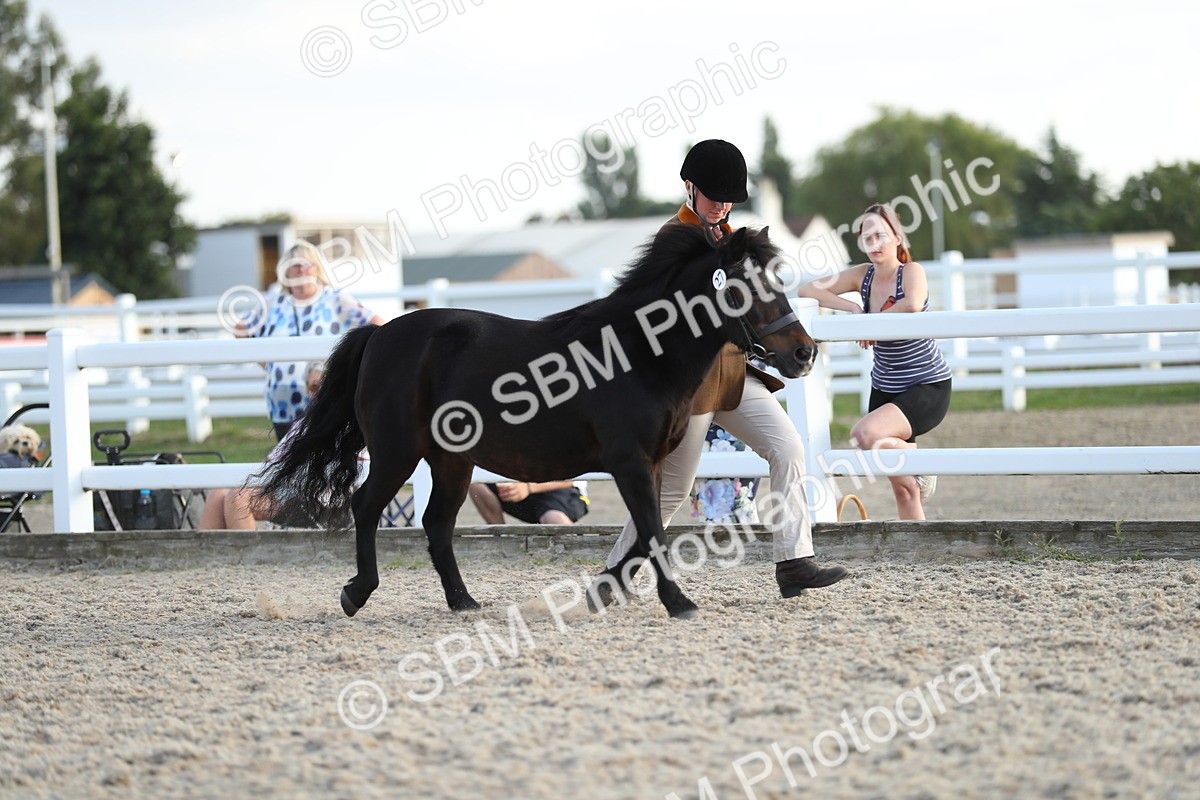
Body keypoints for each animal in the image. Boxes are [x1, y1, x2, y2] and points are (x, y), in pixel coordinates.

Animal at [253, 224, 818, 620]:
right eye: (746, 284)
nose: (804, 353)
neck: (636, 353)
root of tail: (379, 333)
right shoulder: (629, 461)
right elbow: (653, 531)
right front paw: (677, 602)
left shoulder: (652, 463)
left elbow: (647, 529)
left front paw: (606, 590)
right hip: (397, 452)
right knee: (366, 506)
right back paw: (357, 593)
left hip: (452, 461)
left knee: (436, 524)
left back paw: (463, 602)